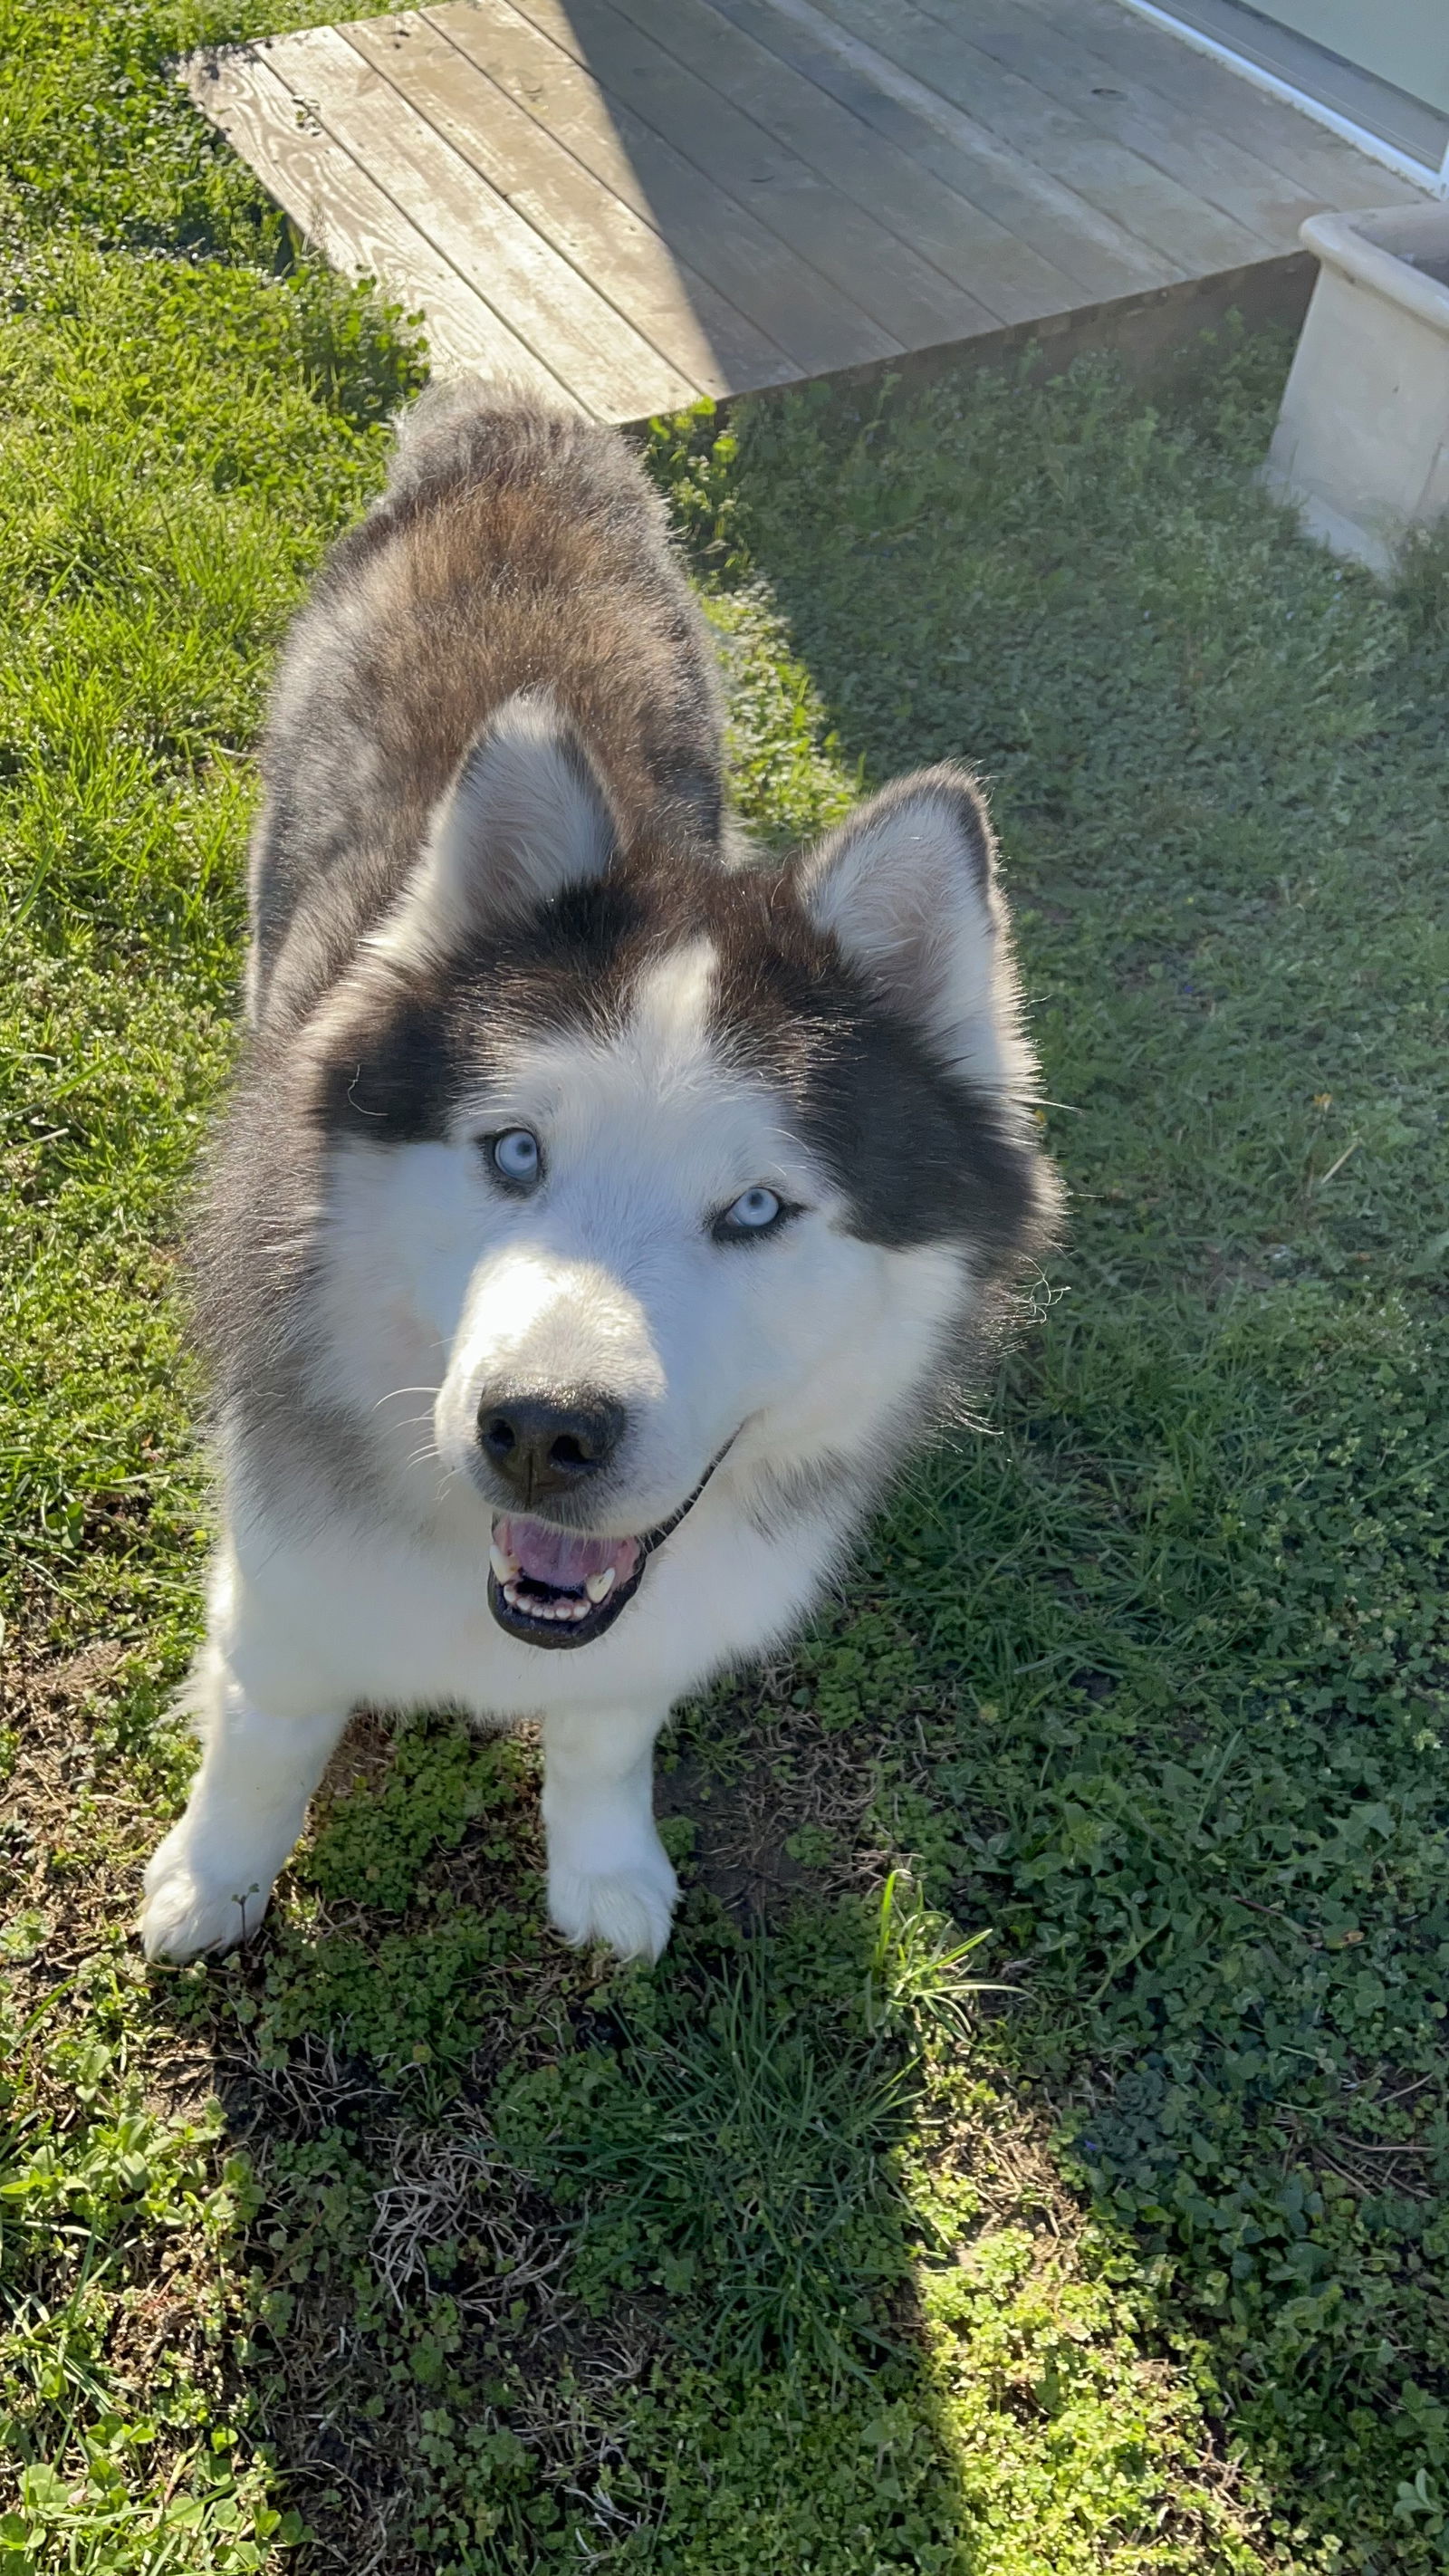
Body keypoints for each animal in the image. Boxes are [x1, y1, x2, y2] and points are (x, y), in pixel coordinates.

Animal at [139, 380, 1055, 1957]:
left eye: (758, 1208)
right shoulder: (282, 1579)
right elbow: (263, 1740)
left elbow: (607, 1731)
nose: (541, 1432)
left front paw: (607, 1866)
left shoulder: (649, 1631)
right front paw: (215, 1881)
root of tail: (515, 420)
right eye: (514, 1151)